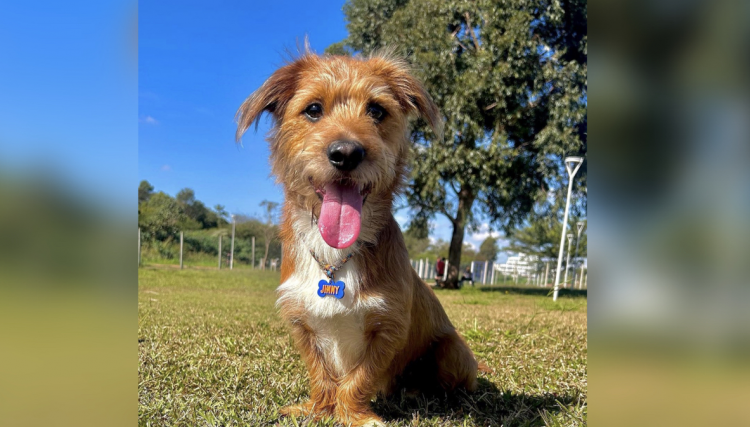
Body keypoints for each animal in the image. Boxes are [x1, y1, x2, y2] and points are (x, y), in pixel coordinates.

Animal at [236, 51, 482, 426]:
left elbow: (360, 377)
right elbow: (320, 372)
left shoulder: (389, 326)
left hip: (453, 350)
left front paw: (354, 415)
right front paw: (318, 409)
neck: (335, 258)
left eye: (377, 110)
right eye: (313, 109)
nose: (346, 153)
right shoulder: (301, 321)